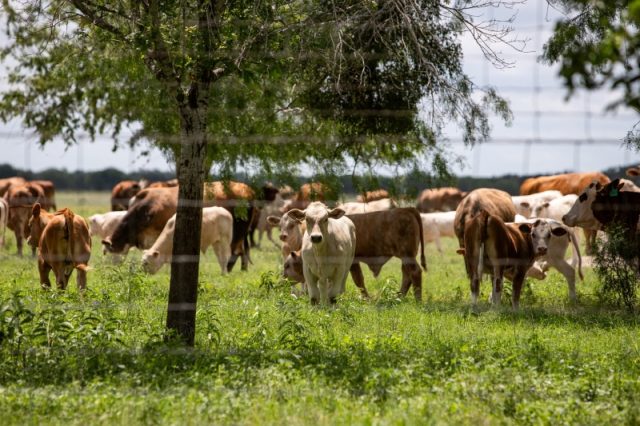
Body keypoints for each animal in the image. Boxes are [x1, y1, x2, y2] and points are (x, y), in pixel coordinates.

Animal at [274, 207, 427, 300]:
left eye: (287, 265)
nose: (282, 280)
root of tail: (407, 209)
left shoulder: (351, 263)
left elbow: (357, 280)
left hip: (407, 255)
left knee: (415, 272)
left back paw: (418, 300)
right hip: (406, 257)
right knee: (406, 274)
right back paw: (399, 297)